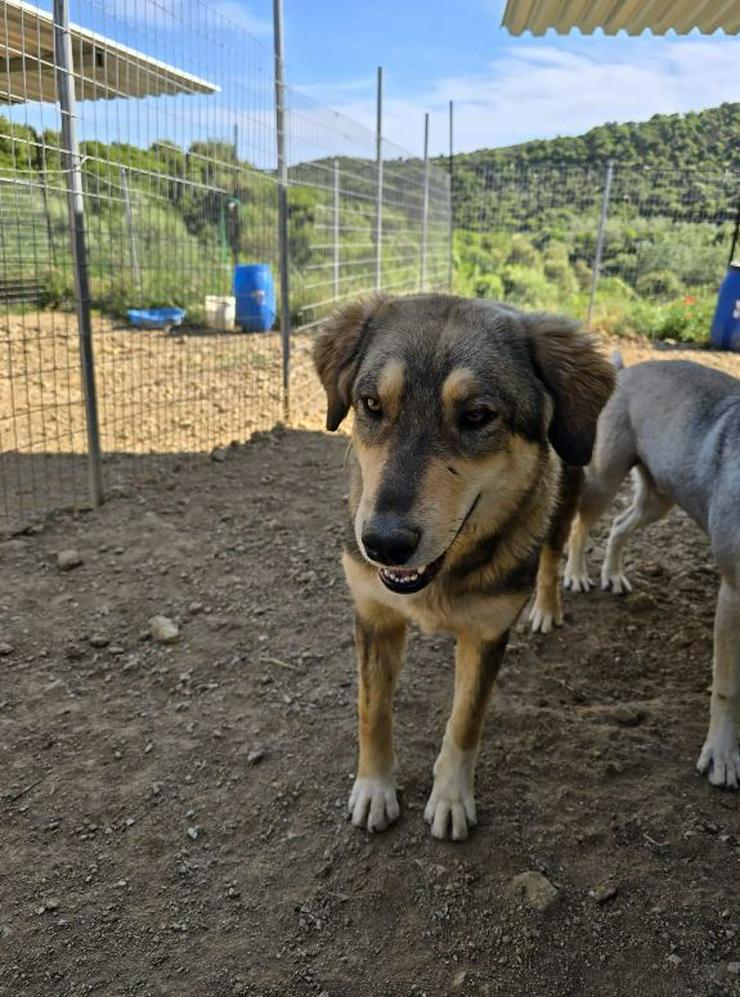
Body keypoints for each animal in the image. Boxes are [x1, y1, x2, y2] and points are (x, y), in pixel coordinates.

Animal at [316, 292, 616, 836]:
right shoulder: (373, 616)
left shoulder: (487, 634)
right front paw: (374, 788)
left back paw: (547, 606)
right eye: (371, 404)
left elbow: (465, 722)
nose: (383, 544)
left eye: (477, 415)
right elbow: (373, 711)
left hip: (565, 499)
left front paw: (452, 799)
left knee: (552, 552)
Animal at [564, 358, 736, 784]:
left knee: (618, 525)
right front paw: (722, 757)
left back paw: (612, 575)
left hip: (659, 498)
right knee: (582, 524)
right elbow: (728, 688)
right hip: (605, 477)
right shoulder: (733, 594)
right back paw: (576, 575)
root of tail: (630, 368)